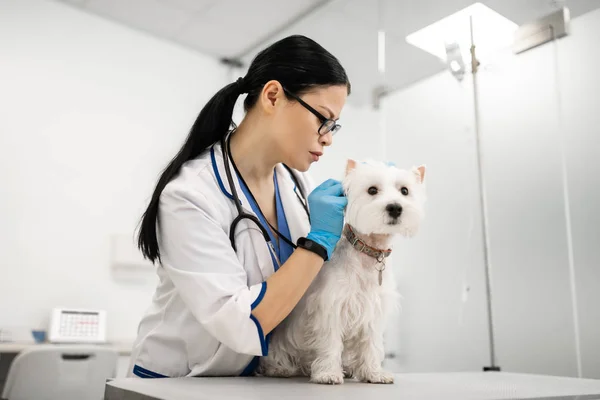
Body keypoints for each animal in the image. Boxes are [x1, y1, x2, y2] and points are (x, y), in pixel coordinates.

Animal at [256, 159, 426, 384]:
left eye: (404, 191)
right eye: (372, 190)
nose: (395, 207)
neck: (369, 252)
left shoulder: (374, 311)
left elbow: (372, 344)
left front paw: (374, 373)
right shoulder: (331, 307)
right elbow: (330, 343)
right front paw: (328, 373)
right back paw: (280, 369)